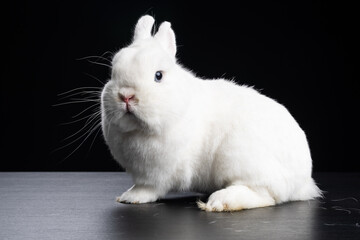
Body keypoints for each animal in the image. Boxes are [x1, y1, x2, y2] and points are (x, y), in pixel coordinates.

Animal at [100, 15, 320, 211]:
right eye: (113, 72)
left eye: (158, 76)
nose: (126, 96)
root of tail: (303, 179)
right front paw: (127, 196)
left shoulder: (159, 172)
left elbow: (149, 187)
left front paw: (133, 198)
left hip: (241, 161)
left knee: (266, 195)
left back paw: (220, 201)